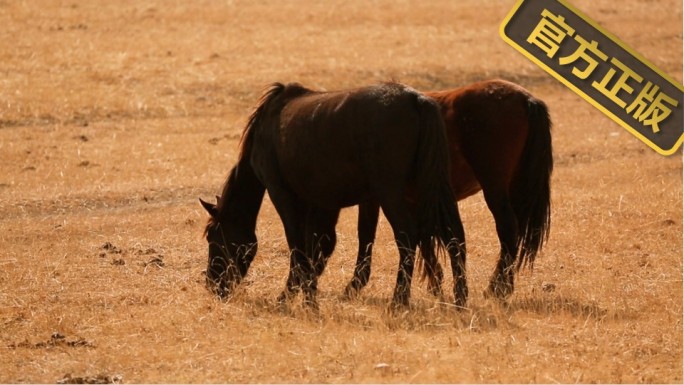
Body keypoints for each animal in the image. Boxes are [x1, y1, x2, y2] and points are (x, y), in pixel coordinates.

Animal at [200, 82, 468, 308]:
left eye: (213, 237)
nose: (214, 285)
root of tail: (416, 99)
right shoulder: (332, 203)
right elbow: (324, 246)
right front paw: (308, 292)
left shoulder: (283, 194)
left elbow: (298, 246)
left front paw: (294, 299)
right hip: (431, 187)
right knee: (454, 236)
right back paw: (460, 300)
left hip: (393, 194)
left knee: (408, 238)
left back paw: (399, 301)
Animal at [316, 78, 556, 300]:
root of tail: (526, 99)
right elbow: (424, 236)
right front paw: (436, 282)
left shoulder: (375, 198)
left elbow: (367, 234)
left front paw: (355, 284)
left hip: (494, 186)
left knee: (508, 229)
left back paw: (496, 288)